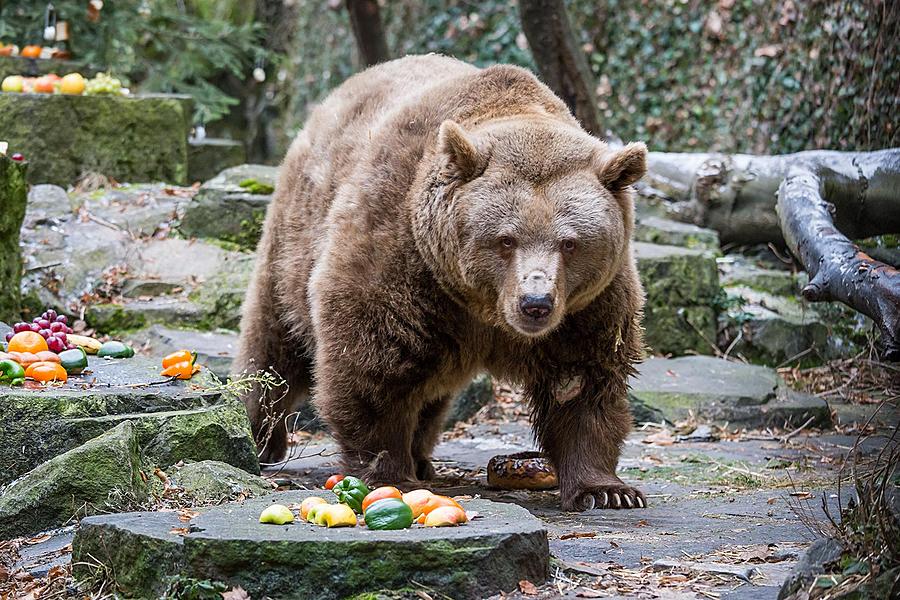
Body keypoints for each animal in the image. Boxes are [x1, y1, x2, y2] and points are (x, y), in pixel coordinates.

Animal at [234, 54, 648, 510]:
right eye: (506, 239)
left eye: (570, 242)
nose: (535, 302)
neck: (482, 306)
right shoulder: (401, 255)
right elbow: (372, 366)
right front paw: (389, 472)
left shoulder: (587, 306)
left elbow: (581, 385)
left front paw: (606, 490)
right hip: (295, 238)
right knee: (273, 345)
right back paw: (262, 438)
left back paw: (421, 455)